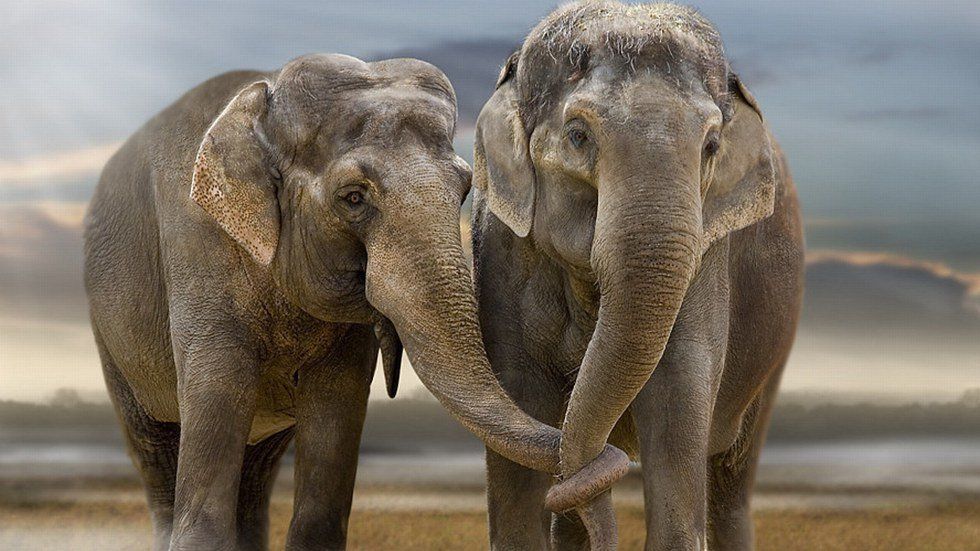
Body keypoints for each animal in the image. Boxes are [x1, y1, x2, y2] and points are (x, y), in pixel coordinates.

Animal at [83, 54, 625, 551]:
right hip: (112, 341)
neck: (266, 102)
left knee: (255, 475)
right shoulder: (197, 247)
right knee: (155, 452)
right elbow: (218, 388)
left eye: (465, 187)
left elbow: (336, 408)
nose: (606, 461)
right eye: (353, 198)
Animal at [471, 3, 805, 550]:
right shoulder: (501, 250)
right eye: (578, 135)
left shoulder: (707, 258)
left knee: (732, 479)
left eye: (711, 145)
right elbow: (518, 401)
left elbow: (677, 392)